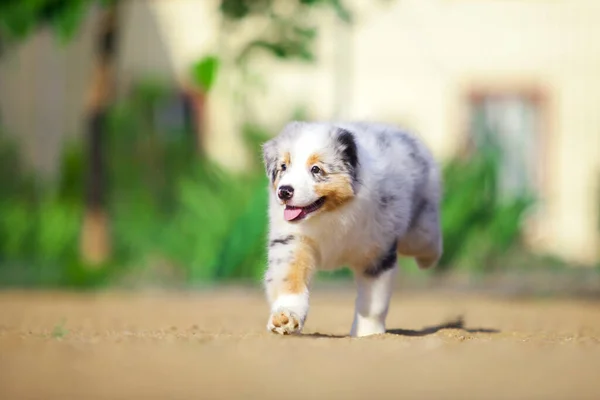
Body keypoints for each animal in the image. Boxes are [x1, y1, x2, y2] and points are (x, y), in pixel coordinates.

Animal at [260, 122, 442, 338]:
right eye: (283, 167)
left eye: (316, 169)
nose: (284, 191)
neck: (332, 213)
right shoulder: (292, 241)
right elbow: (289, 279)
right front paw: (285, 318)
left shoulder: (377, 255)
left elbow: (373, 303)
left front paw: (368, 333)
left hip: (419, 229)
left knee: (427, 241)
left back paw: (428, 259)